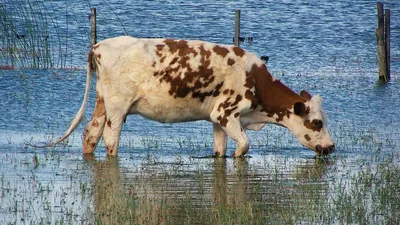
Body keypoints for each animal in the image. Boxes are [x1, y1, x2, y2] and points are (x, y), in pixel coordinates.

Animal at [49, 36, 334, 156]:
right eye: (317, 122)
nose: (331, 147)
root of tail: (99, 46)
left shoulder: (217, 120)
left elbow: (220, 151)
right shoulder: (226, 114)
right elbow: (244, 146)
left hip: (102, 103)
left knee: (90, 134)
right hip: (118, 108)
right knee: (110, 139)